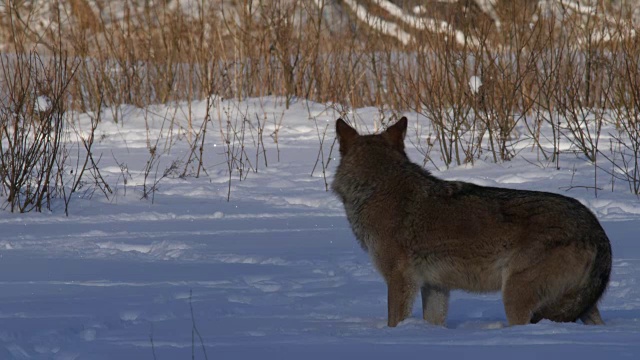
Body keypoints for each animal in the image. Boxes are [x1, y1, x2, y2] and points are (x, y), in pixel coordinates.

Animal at [332, 116, 612, 328]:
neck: (376, 187)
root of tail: (596, 229)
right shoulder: (435, 286)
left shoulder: (400, 279)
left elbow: (394, 321)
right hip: (582, 307)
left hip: (514, 295)